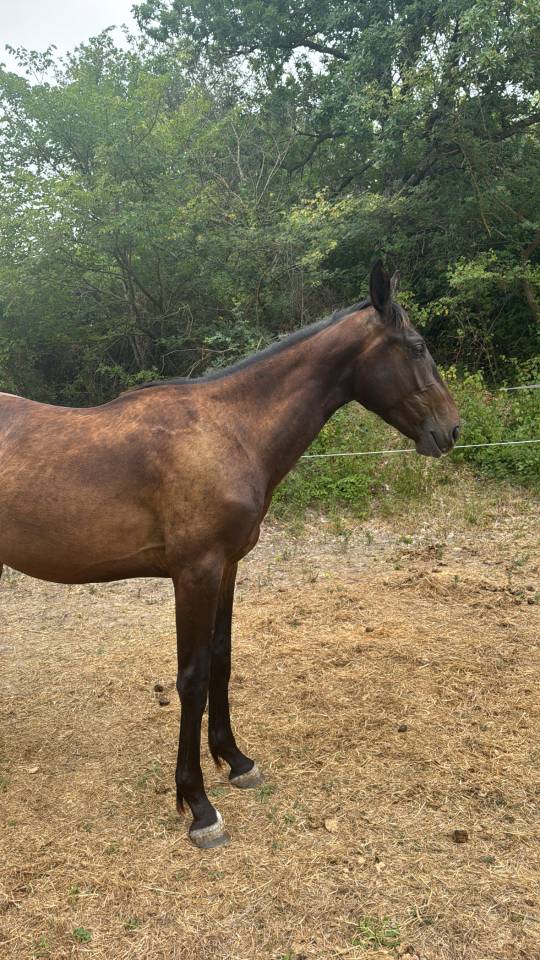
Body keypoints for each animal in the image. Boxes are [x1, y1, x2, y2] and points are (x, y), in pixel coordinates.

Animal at [0, 262, 459, 847]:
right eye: (417, 346)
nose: (451, 429)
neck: (229, 430)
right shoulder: (194, 572)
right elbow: (192, 678)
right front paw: (197, 805)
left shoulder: (227, 566)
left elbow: (221, 657)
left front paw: (235, 760)